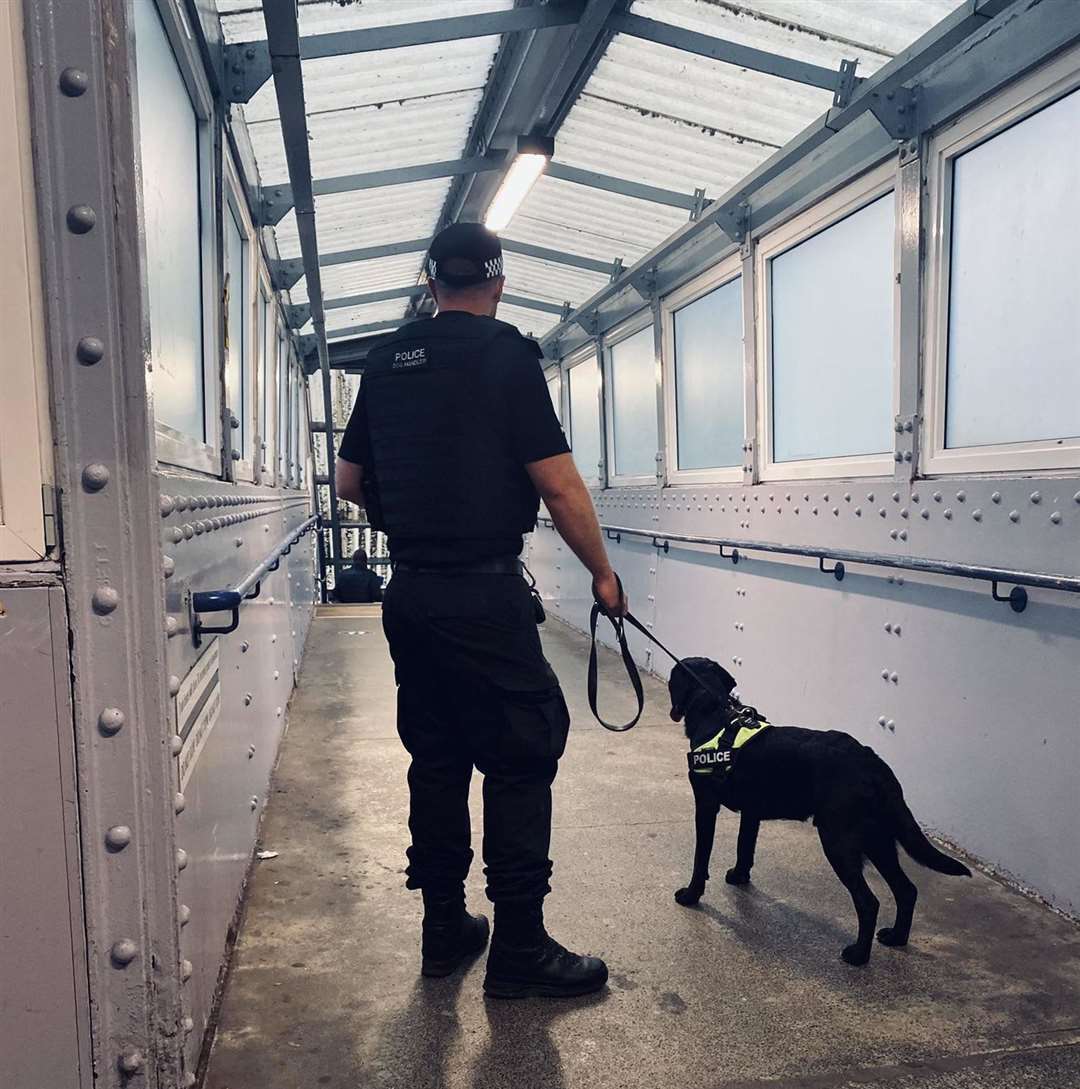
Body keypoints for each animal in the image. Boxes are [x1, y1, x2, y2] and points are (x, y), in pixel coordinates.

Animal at [666, 657, 971, 967]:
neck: (714, 713)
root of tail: (872, 763)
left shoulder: (706, 806)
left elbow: (700, 858)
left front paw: (691, 894)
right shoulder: (752, 812)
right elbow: (744, 846)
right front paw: (739, 876)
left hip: (839, 840)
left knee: (869, 902)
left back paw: (858, 955)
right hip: (878, 839)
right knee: (906, 890)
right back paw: (897, 938)